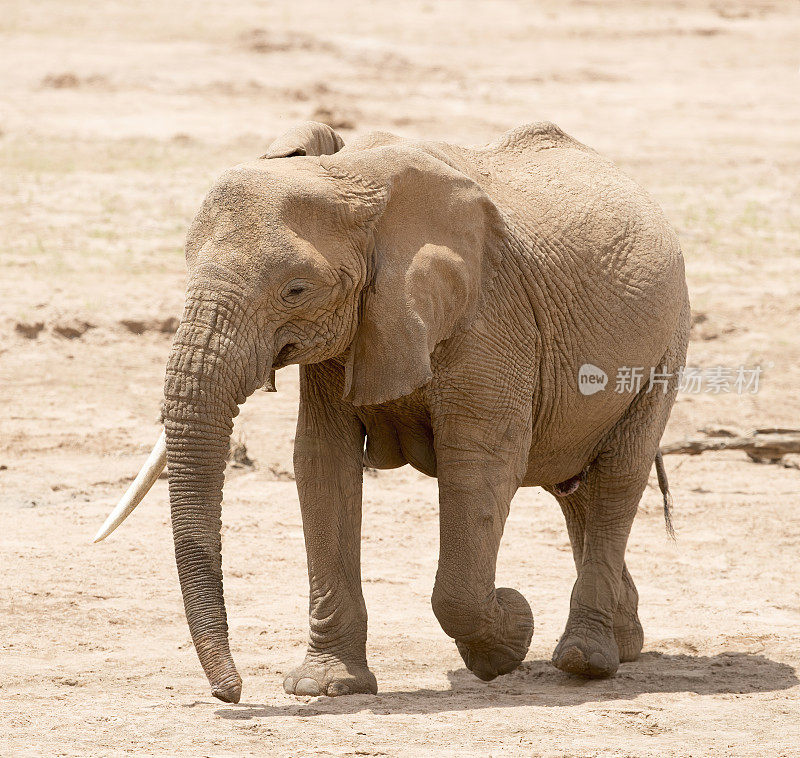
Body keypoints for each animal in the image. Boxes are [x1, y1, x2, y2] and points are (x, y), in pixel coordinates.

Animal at [97, 120, 692, 708]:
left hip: (666, 343)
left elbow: (482, 462)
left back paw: (585, 661)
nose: (232, 693)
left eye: (296, 289)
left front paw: (511, 632)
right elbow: (321, 462)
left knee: (617, 477)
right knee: (572, 488)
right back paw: (624, 644)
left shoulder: (488, 315)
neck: (345, 177)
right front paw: (325, 687)